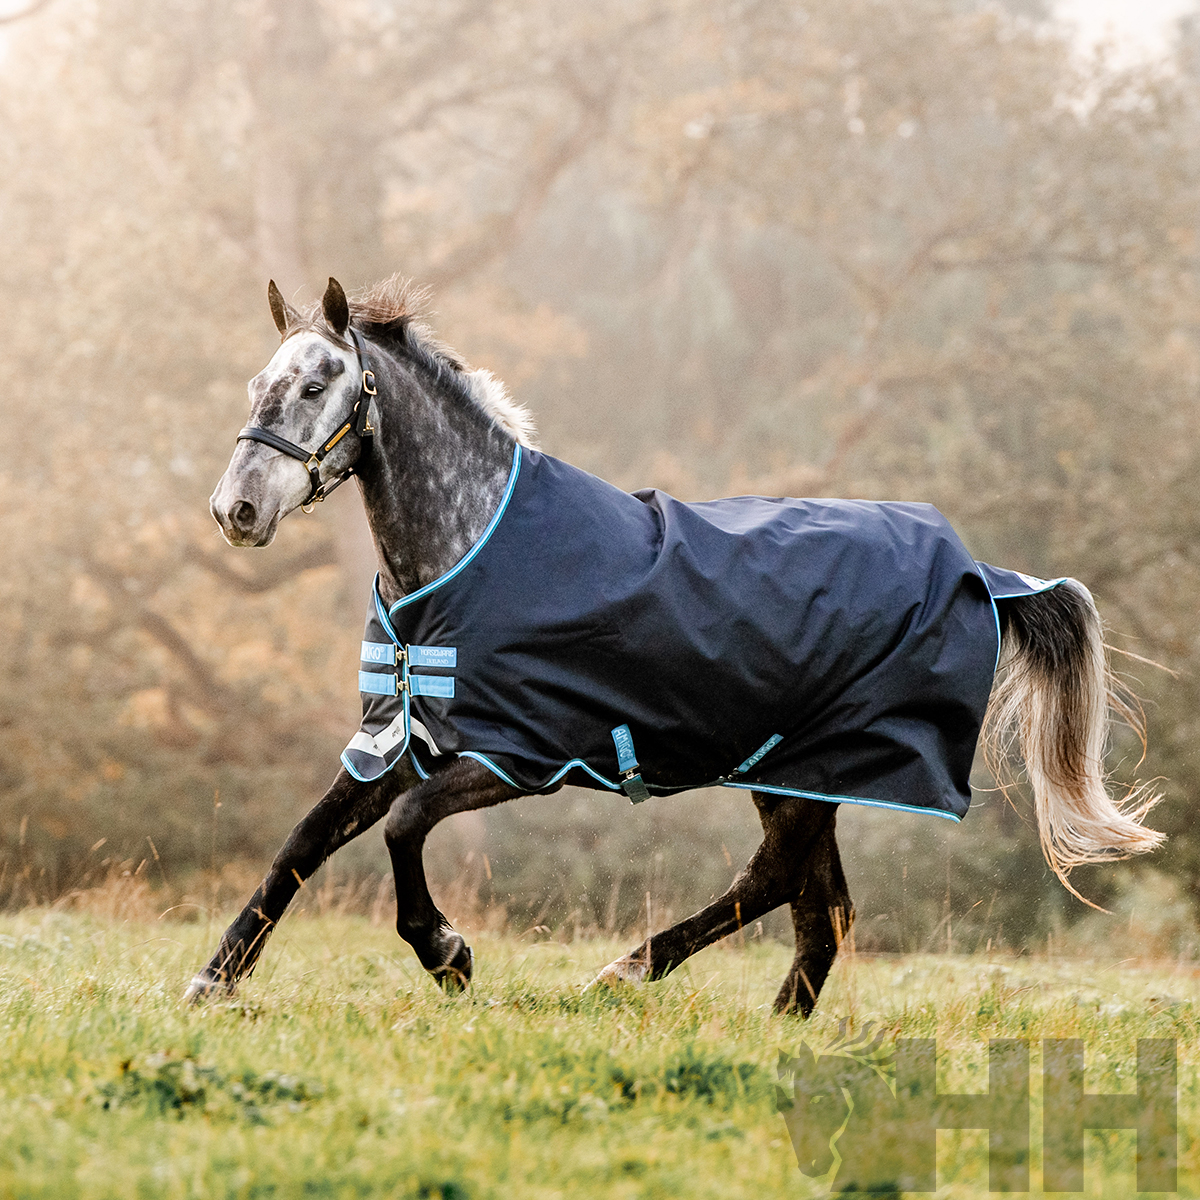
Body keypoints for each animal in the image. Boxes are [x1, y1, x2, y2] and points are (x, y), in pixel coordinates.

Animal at [188, 274, 1164, 1013]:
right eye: (256, 383)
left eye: (318, 384)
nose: (237, 510)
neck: (469, 550)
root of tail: (979, 574)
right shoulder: (401, 741)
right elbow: (303, 843)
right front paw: (214, 981)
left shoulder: (521, 757)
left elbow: (401, 829)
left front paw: (449, 956)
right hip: (795, 775)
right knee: (816, 907)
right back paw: (766, 1022)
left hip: (809, 770)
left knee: (784, 889)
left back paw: (627, 975)